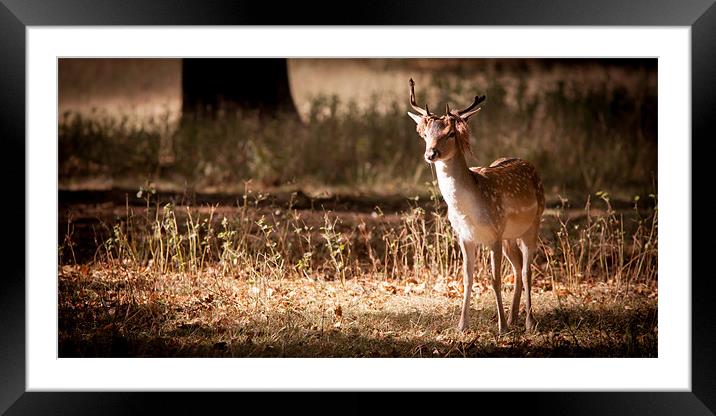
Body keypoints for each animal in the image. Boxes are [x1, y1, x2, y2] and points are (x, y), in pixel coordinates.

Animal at [408, 78, 544, 334]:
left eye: (451, 133)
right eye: (424, 134)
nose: (431, 153)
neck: (468, 210)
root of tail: (530, 164)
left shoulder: (494, 233)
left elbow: (494, 279)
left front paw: (501, 327)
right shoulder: (464, 235)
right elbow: (467, 278)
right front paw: (462, 325)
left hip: (532, 225)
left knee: (526, 270)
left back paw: (529, 322)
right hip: (509, 236)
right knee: (517, 267)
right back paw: (514, 317)